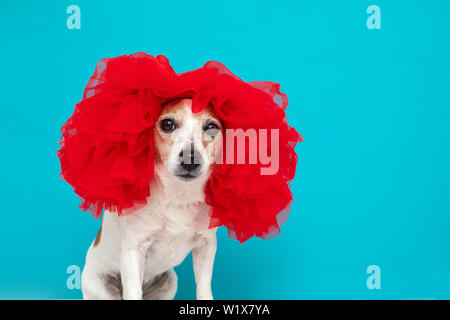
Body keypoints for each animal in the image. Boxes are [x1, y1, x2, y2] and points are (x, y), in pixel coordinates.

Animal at [81, 98, 223, 300]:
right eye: (168, 124)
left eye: (211, 127)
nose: (190, 159)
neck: (178, 194)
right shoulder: (134, 249)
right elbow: (134, 292)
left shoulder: (207, 244)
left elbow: (203, 289)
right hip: (99, 285)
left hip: (168, 282)